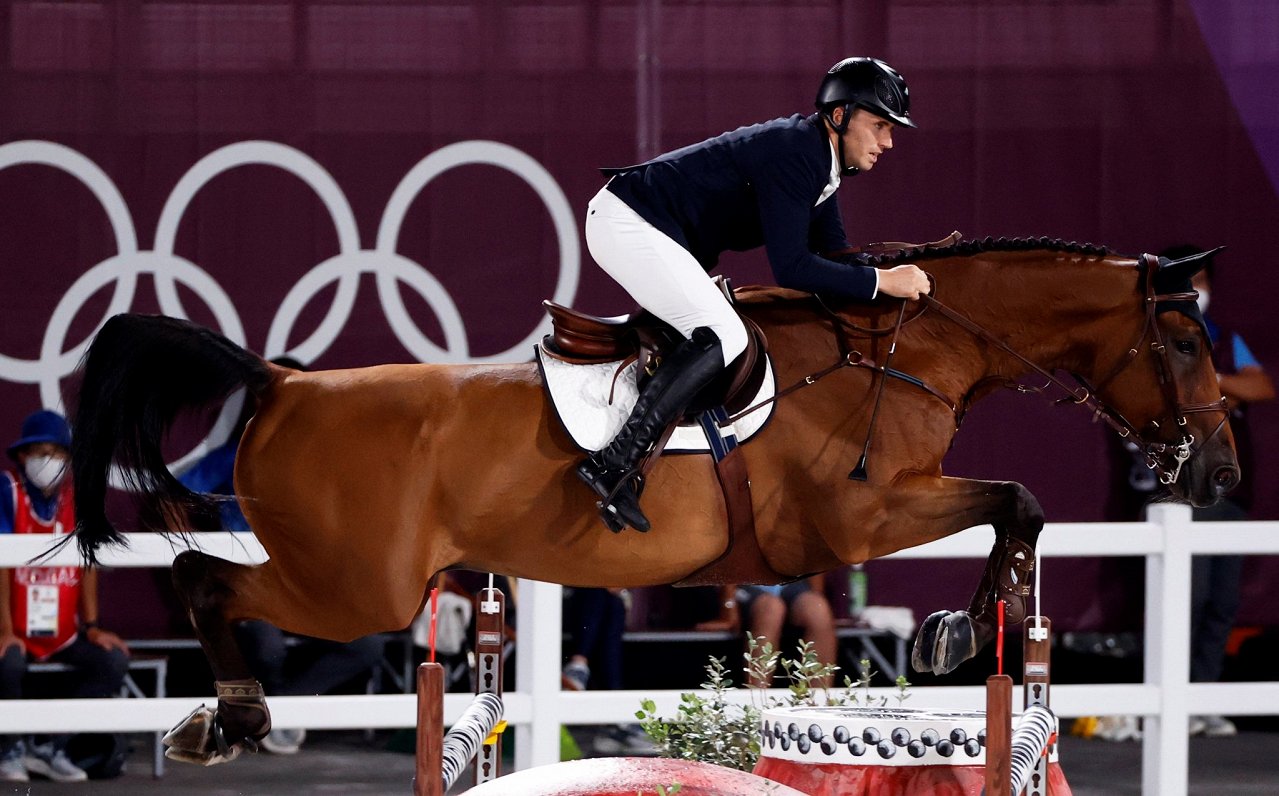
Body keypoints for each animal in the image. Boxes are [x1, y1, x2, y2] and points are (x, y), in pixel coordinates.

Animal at [67, 238, 1227, 767]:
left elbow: (1015, 507)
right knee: (201, 576)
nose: (1216, 475)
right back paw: (236, 716)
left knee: (206, 577)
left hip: (350, 577)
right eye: (1182, 341)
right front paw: (955, 631)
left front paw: (964, 626)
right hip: (358, 587)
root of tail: (278, 382)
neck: (907, 351)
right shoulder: (860, 517)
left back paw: (222, 719)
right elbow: (1017, 499)